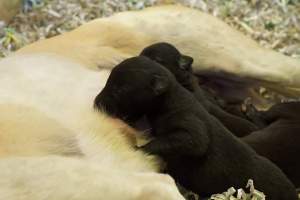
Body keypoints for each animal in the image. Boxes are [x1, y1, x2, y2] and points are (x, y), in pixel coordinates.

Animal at [94, 56, 298, 200]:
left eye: (120, 89)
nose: (96, 103)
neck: (171, 99)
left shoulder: (190, 125)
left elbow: (192, 142)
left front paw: (140, 148)